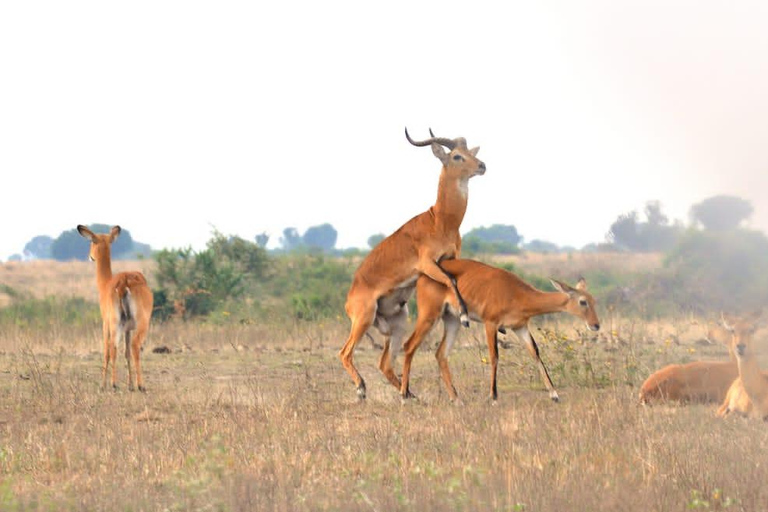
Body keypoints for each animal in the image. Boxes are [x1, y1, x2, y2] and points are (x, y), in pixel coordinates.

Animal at [78, 225, 153, 392]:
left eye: (92, 242)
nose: (90, 256)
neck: (106, 284)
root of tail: (124, 282)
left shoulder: (105, 324)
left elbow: (106, 351)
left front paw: (102, 384)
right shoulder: (127, 329)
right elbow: (126, 353)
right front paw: (129, 385)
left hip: (122, 324)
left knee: (116, 348)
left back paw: (122, 384)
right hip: (128, 325)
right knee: (128, 347)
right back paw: (131, 384)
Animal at [338, 128, 486, 400]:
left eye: (470, 152)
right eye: (457, 156)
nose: (482, 165)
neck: (441, 220)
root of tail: (349, 300)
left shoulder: (451, 259)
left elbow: (454, 281)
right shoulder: (428, 264)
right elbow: (451, 281)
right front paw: (463, 316)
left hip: (398, 323)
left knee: (385, 363)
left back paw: (409, 394)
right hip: (364, 318)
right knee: (345, 352)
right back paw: (362, 388)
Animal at [396, 262, 600, 402]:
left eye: (593, 300)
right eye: (583, 301)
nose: (596, 325)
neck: (518, 294)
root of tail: (423, 276)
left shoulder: (520, 327)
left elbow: (535, 354)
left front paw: (554, 394)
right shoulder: (491, 323)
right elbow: (494, 356)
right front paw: (493, 396)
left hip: (452, 321)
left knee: (440, 354)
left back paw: (457, 399)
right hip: (429, 316)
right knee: (409, 346)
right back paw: (404, 396)